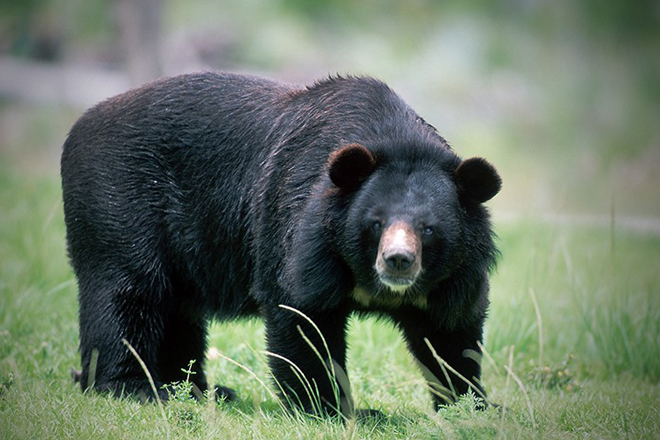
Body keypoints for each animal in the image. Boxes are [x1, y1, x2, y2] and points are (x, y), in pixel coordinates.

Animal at [62, 71, 502, 416]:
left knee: (176, 309)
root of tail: (79, 126)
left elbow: (451, 333)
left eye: (428, 228)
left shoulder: (453, 276)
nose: (398, 261)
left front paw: (474, 406)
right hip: (120, 199)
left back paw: (196, 390)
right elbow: (301, 314)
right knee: (127, 293)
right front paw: (334, 409)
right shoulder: (303, 233)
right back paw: (133, 388)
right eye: (375, 223)